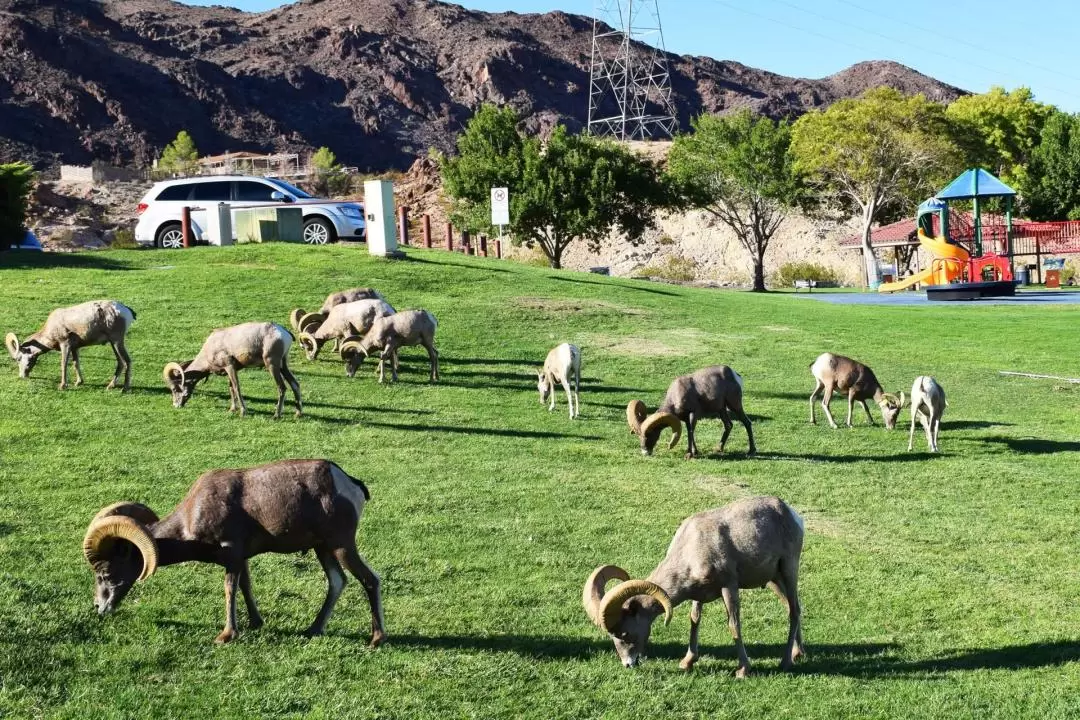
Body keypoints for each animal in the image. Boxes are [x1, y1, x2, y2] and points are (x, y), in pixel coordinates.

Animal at [5, 297, 135, 390]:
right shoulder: (75, 348)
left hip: (117, 342)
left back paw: (124, 389)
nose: (22, 376)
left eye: (18, 359)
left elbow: (64, 364)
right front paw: (78, 383)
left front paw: (62, 386)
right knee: (120, 362)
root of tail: (126, 310)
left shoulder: (65, 345)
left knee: (127, 361)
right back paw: (110, 386)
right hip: (113, 343)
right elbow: (75, 363)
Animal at [85, 462, 388, 647]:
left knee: (370, 580)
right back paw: (313, 629)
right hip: (323, 549)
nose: (100, 608)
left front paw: (227, 635)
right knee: (337, 582)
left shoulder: (231, 554)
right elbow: (245, 586)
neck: (192, 517)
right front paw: (255, 623)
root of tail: (349, 484)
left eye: (105, 574)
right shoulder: (242, 559)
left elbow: (230, 588)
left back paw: (376, 640)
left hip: (341, 545)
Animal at [157, 323, 300, 418]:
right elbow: (231, 388)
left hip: (272, 365)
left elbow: (237, 388)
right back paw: (298, 413)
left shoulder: (230, 366)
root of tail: (284, 333)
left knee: (282, 387)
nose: (176, 405)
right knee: (295, 384)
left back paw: (276, 415)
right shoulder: (230, 371)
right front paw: (232, 409)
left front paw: (243, 412)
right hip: (283, 365)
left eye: (174, 389)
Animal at [583, 496, 803, 677]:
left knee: (794, 611)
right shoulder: (699, 595)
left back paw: (785, 663)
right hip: (774, 580)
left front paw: (743, 670)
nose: (628, 664)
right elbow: (694, 620)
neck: (691, 549)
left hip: (788, 571)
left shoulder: (729, 587)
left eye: (624, 634)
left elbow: (733, 625)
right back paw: (798, 654)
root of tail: (792, 514)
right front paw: (687, 662)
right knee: (791, 607)